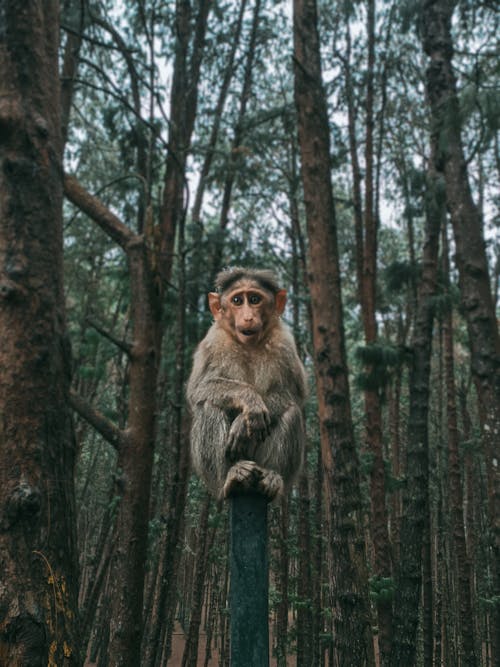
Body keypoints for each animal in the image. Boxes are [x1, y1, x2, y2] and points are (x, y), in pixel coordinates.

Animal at [186, 266, 306, 500]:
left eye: (254, 299)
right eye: (237, 301)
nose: (248, 317)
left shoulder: (285, 344)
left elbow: (294, 394)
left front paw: (242, 422)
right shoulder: (212, 342)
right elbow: (199, 389)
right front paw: (249, 399)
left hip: (260, 458)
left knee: (292, 412)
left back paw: (272, 477)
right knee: (208, 405)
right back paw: (230, 478)